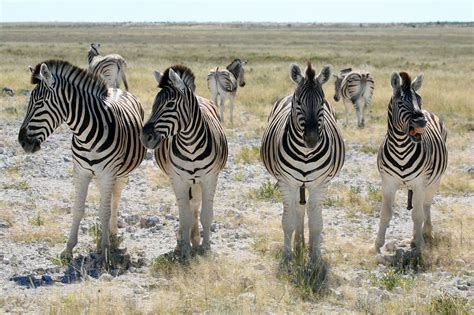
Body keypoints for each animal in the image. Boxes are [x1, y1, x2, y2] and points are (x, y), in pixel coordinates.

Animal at [18, 59, 146, 264]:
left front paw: (105, 252)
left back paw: (112, 236)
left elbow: (104, 211)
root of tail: (116, 89)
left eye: (39, 103)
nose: (22, 142)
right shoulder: (81, 172)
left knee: (115, 200)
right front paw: (68, 249)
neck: (86, 135)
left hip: (121, 173)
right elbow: (78, 209)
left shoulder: (107, 174)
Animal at [141, 65, 228, 262]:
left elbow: (206, 215)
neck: (191, 146)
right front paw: (186, 250)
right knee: (185, 208)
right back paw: (184, 240)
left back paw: (195, 239)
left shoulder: (210, 178)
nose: (144, 137)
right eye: (153, 104)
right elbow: (185, 216)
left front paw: (205, 248)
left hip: (196, 181)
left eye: (169, 105)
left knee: (194, 205)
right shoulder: (178, 180)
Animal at [262, 63, 346, 280]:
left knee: (305, 210)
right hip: (296, 184)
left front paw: (315, 258)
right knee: (297, 210)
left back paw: (305, 246)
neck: (305, 154)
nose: (311, 139)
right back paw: (299, 245)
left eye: (322, 101)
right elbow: (288, 221)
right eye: (298, 101)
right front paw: (287, 258)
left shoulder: (320, 184)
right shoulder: (286, 183)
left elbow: (316, 223)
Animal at [374, 71, 448, 254]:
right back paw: (414, 237)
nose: (421, 121)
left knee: (425, 206)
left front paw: (420, 244)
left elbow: (417, 215)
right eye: (400, 102)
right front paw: (377, 245)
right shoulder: (388, 183)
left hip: (434, 181)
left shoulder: (420, 183)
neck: (401, 149)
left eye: (419, 99)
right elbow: (385, 213)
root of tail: (428, 112)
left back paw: (425, 233)